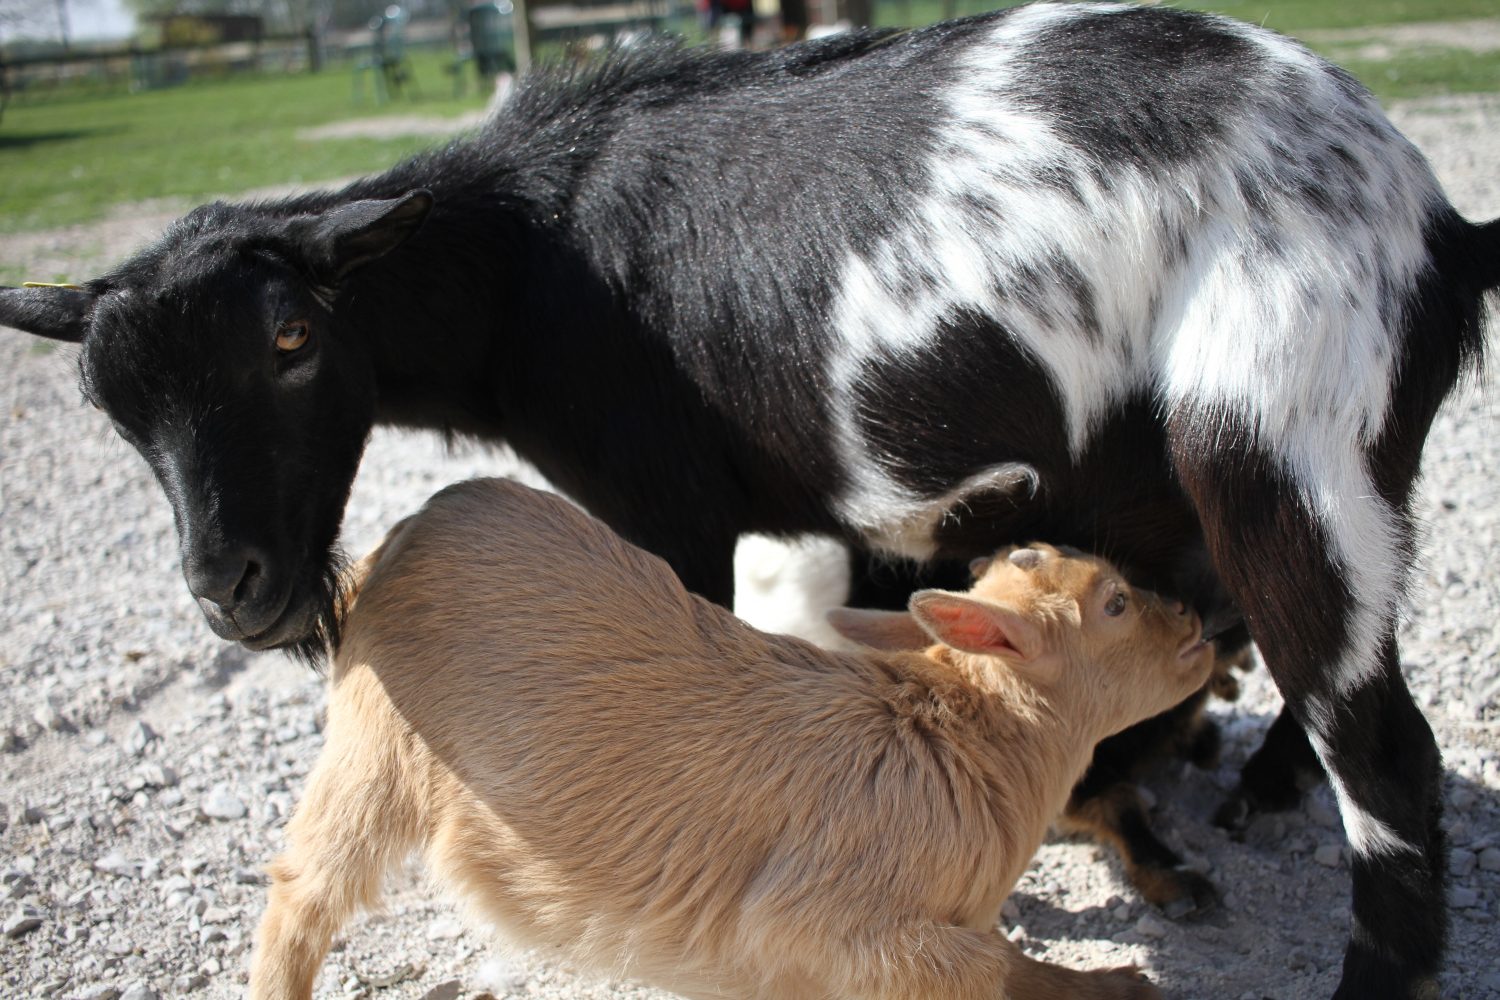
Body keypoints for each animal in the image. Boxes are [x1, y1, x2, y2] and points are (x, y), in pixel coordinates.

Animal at [246, 479, 1206, 1000]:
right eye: (1116, 602)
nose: (1197, 622)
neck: (970, 742)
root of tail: (407, 533)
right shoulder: (817, 920)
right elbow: (989, 964)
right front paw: (1113, 984)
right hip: (374, 753)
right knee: (302, 892)